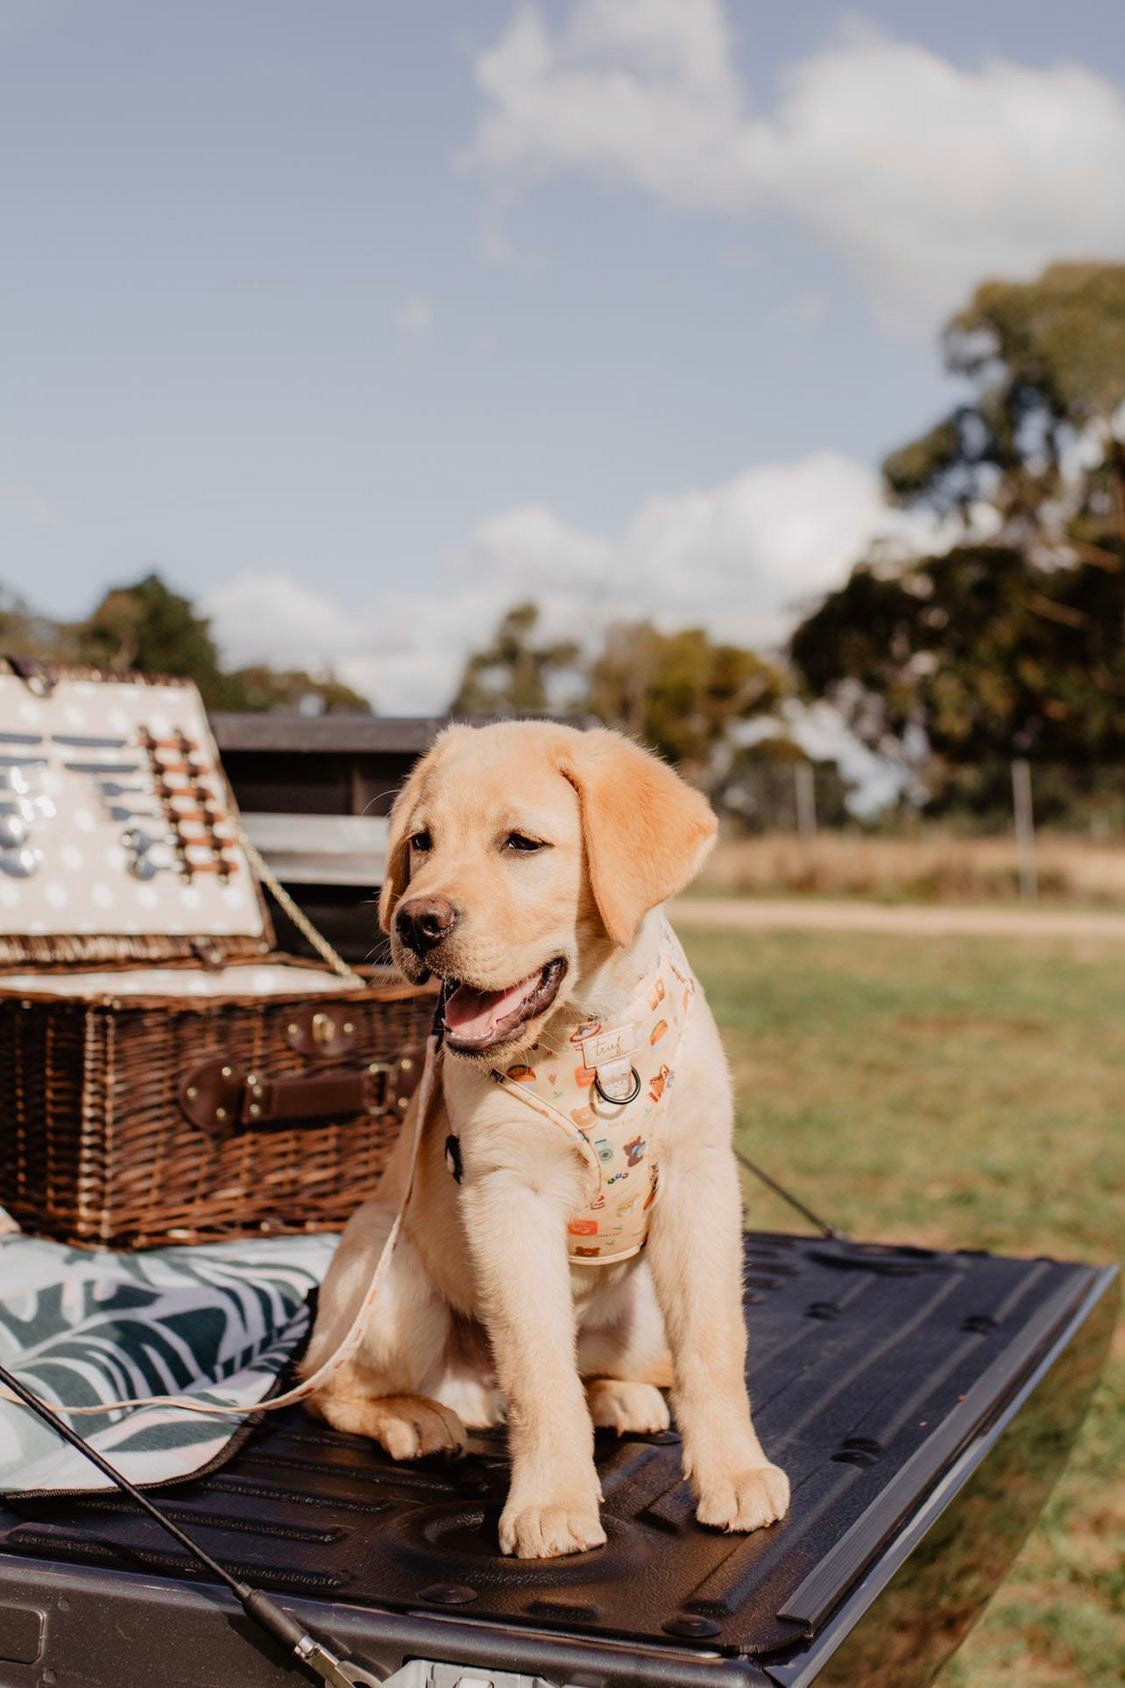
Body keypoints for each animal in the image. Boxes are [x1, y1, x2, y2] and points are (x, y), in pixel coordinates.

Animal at [302, 722, 783, 1552]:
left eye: (521, 843)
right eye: (421, 842)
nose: (414, 922)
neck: (592, 1039)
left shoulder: (700, 1181)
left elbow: (716, 1346)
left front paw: (734, 1472)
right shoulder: (506, 1199)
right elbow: (536, 1368)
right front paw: (553, 1502)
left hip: (640, 1322)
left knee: (611, 1369)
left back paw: (619, 1397)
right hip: (390, 1289)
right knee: (328, 1387)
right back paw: (415, 1420)